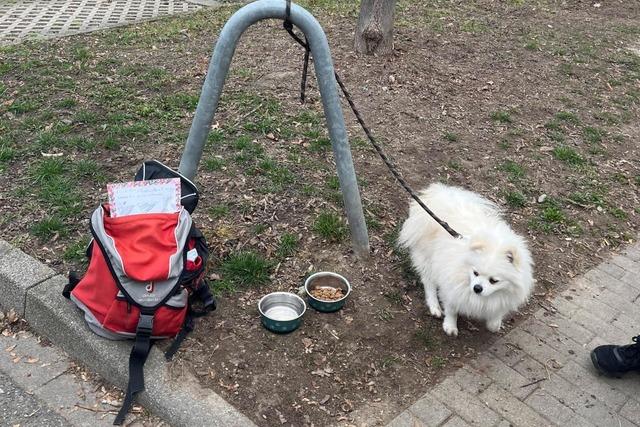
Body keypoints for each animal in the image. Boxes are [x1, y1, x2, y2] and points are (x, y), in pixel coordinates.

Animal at [398, 184, 532, 338]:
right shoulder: (452, 286)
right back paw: (434, 307)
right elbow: (451, 309)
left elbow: (496, 314)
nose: (477, 288)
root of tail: (441, 197)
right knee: (429, 282)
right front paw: (450, 326)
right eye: (475, 273)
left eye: (494, 280)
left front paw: (494, 323)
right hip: (428, 258)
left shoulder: (504, 297)